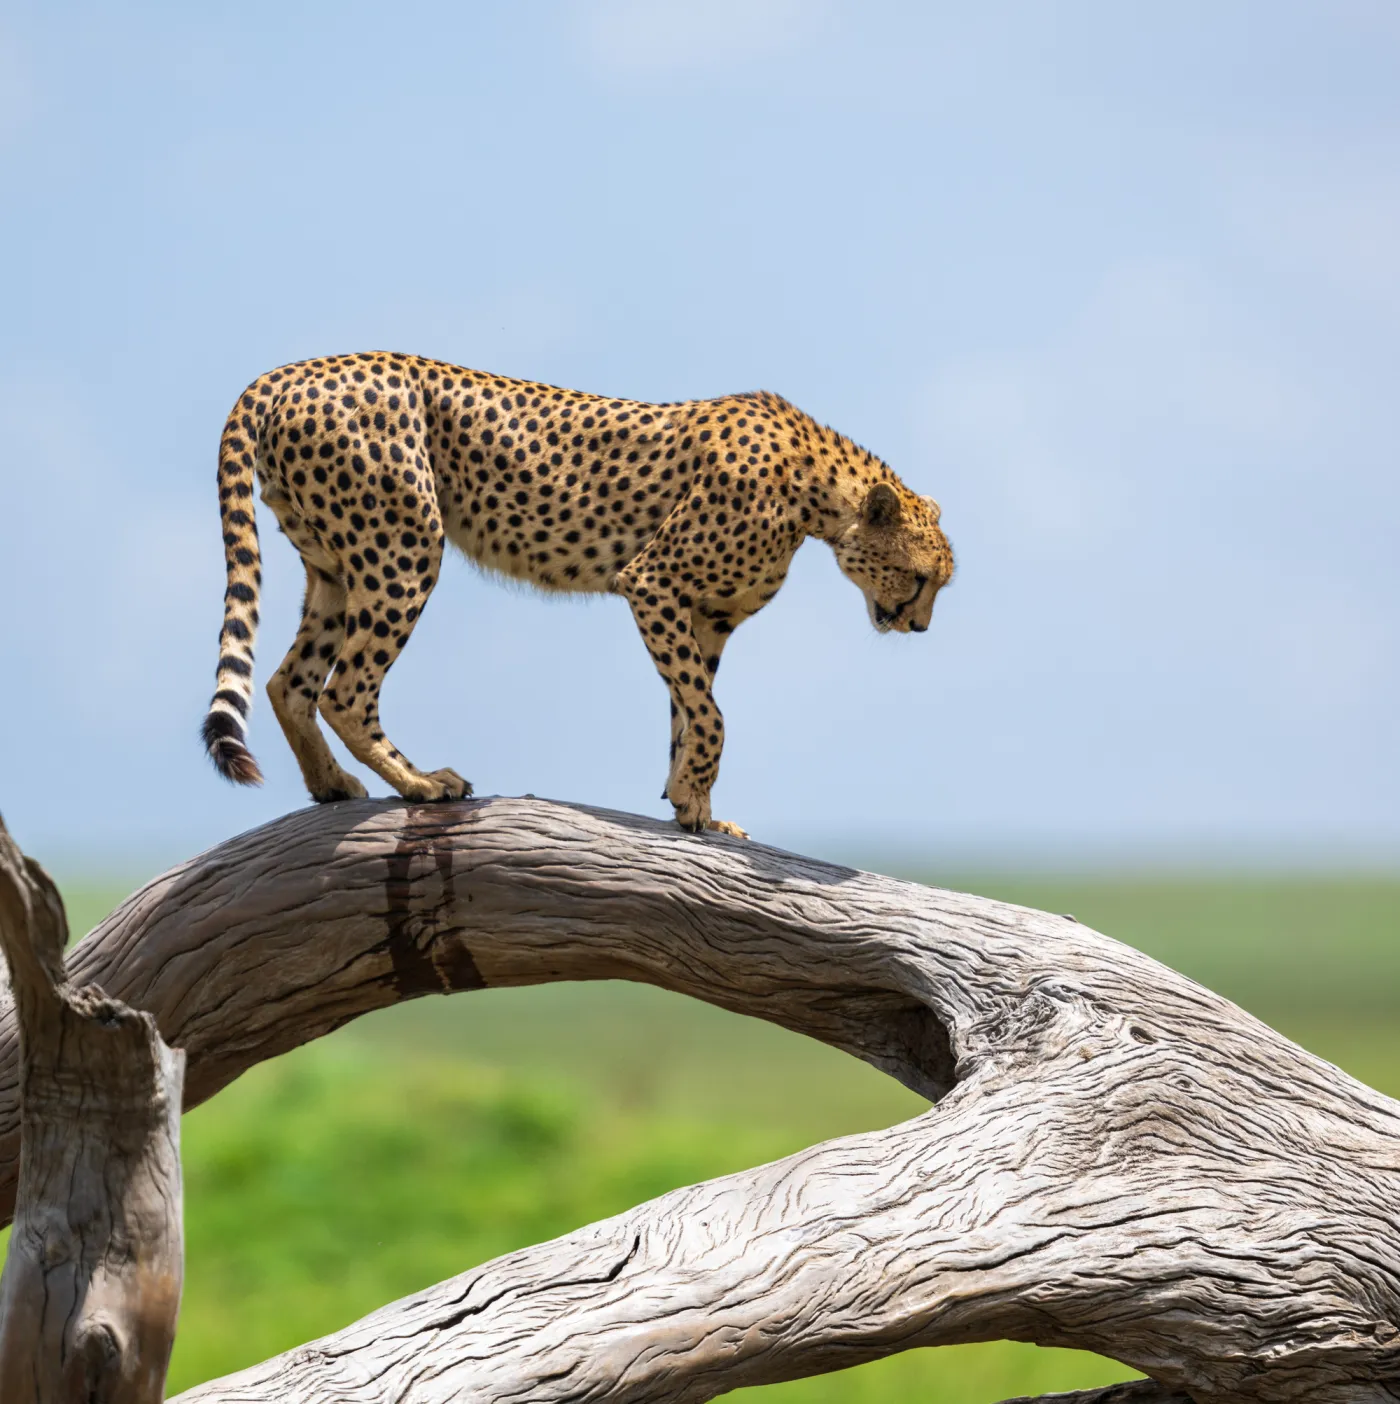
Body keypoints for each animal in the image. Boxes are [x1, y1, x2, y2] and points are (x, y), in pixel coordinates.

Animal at [202, 352, 954, 836]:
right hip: (405, 546)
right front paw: (694, 798)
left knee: (288, 682)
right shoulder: (653, 582)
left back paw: (332, 784)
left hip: (335, 564)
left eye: (938, 585)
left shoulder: (705, 616)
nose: (919, 626)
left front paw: (692, 805)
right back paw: (421, 782)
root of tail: (292, 370)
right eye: (921, 578)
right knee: (345, 689)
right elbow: (712, 714)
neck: (816, 492)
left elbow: (690, 709)